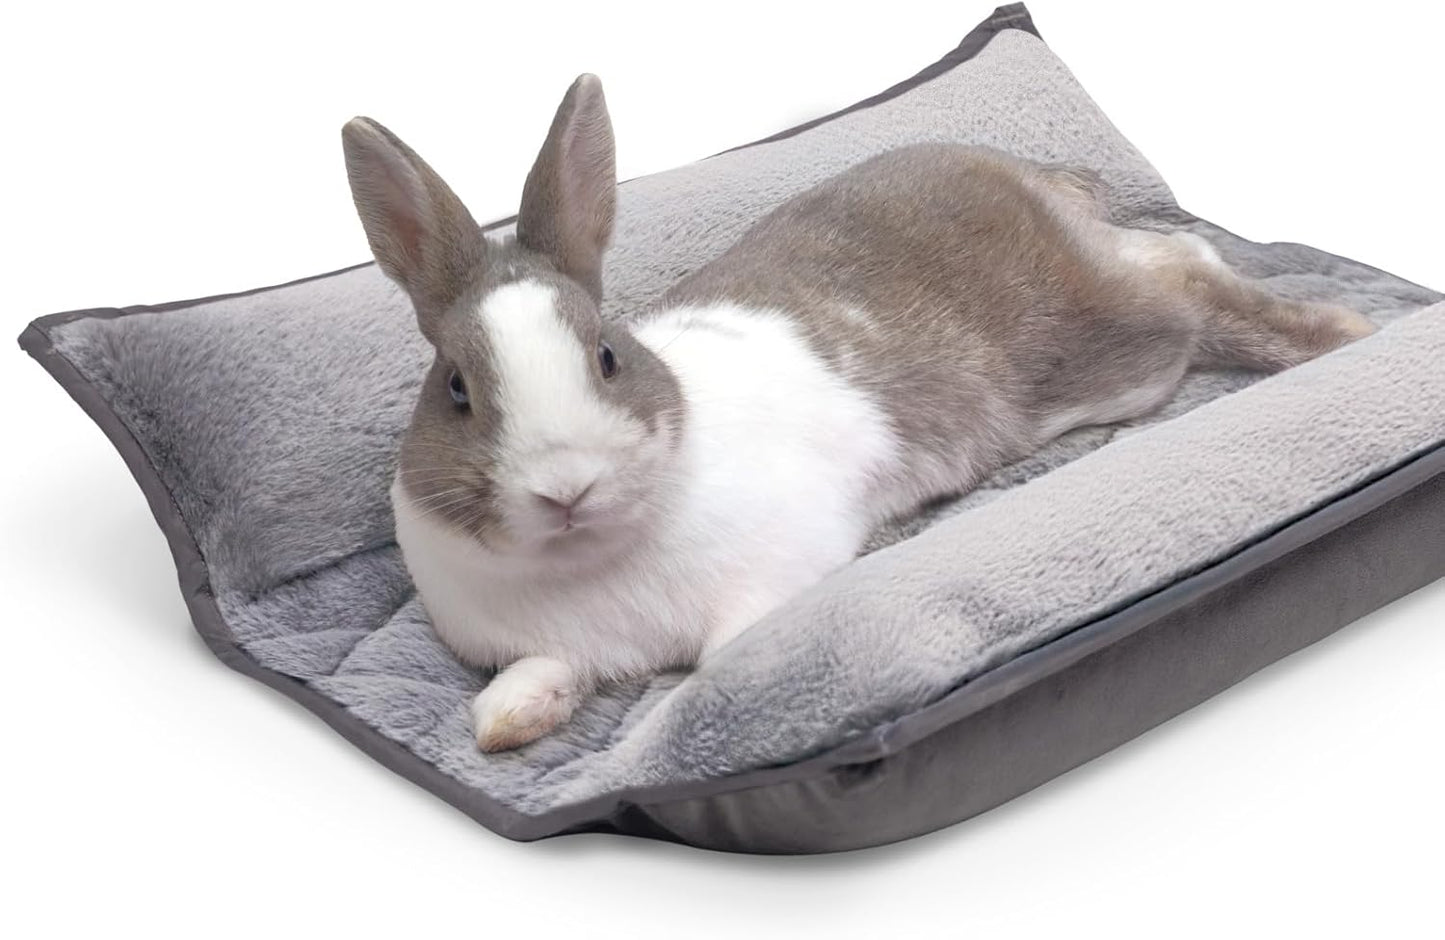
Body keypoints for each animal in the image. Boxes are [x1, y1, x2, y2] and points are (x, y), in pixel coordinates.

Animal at [342, 75, 1375, 752]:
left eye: (606, 355)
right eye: (456, 389)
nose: (565, 486)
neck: (587, 560)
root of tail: (1028, 175)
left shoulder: (776, 571)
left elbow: (719, 660)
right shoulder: (549, 646)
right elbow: (534, 677)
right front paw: (505, 724)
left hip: (1121, 344)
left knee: (1189, 273)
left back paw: (1340, 333)